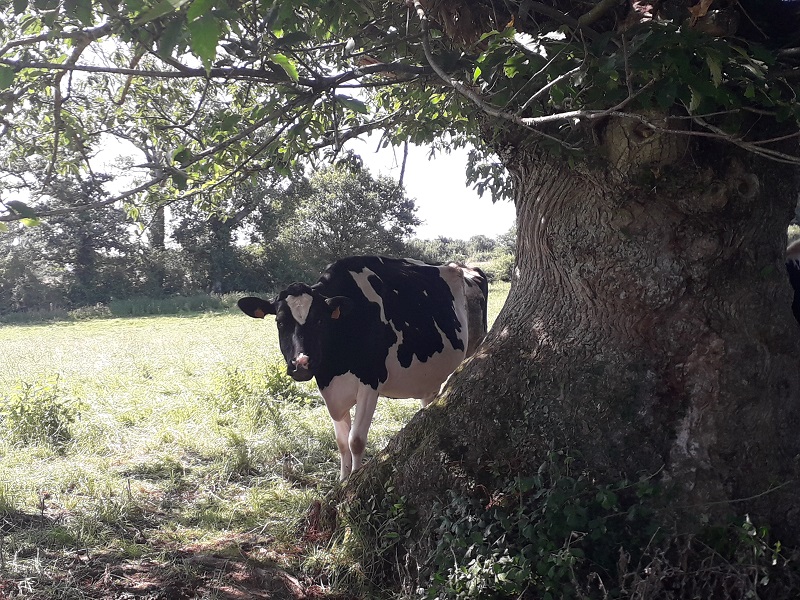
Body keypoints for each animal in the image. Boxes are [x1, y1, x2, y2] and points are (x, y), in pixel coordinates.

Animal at [238, 256, 489, 480]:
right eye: (280, 322)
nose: (301, 364)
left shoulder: (370, 381)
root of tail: (464, 267)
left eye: (319, 320)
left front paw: (354, 478)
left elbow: (355, 440)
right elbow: (341, 442)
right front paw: (341, 480)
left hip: (475, 348)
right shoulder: (329, 386)